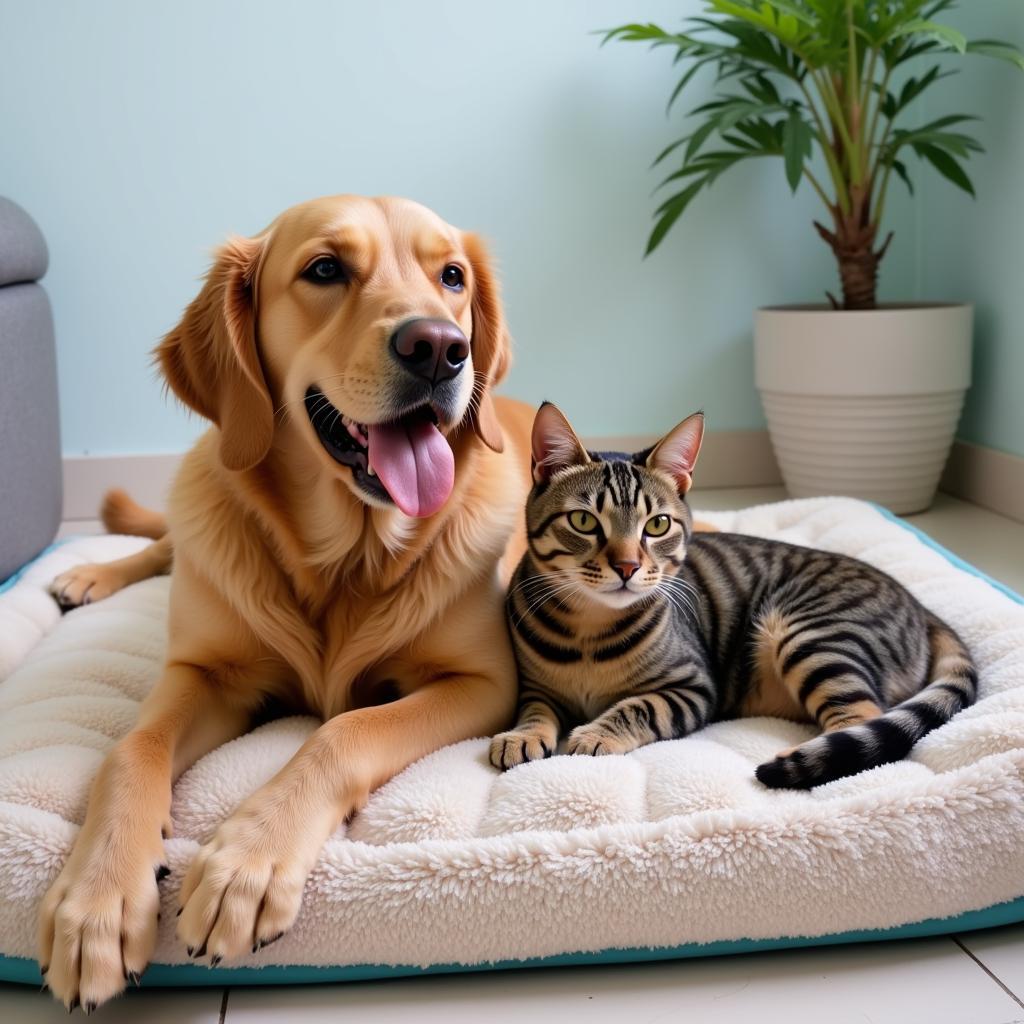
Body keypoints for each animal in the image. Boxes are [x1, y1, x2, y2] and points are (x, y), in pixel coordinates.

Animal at [39, 193, 536, 1007]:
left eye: (453, 277)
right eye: (325, 270)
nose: (441, 347)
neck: (343, 556)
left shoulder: (482, 682)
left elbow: (343, 731)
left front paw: (248, 861)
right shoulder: (203, 672)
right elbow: (131, 749)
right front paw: (98, 897)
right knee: (164, 543)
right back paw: (88, 575)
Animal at [491, 403, 978, 786]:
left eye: (657, 525)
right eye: (584, 522)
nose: (627, 567)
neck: (588, 629)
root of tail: (922, 607)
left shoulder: (690, 687)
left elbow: (635, 707)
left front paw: (595, 733)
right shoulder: (535, 687)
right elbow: (535, 709)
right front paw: (523, 735)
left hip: (813, 635)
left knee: (864, 720)